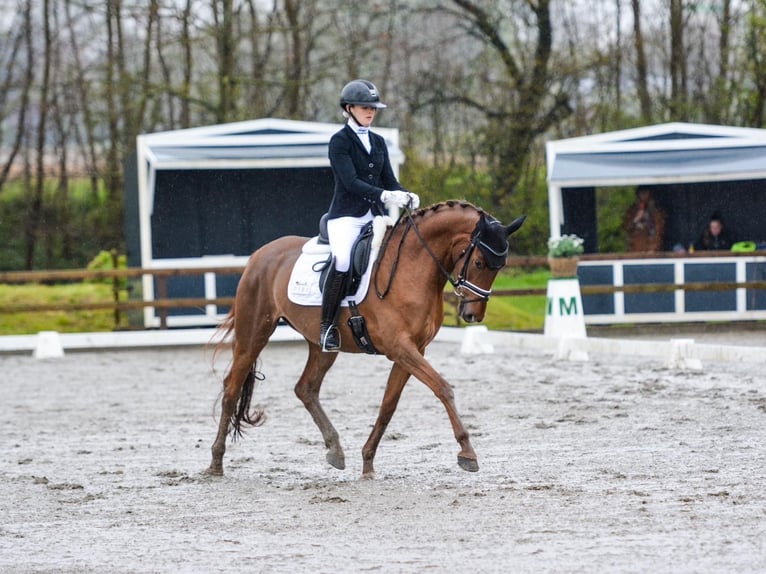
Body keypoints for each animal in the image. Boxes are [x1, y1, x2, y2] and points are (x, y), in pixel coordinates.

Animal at [207, 200, 524, 480]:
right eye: (480, 262)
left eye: (500, 266)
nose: (472, 314)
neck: (413, 267)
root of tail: (259, 255)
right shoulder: (401, 347)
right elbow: (443, 388)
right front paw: (468, 453)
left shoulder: (413, 350)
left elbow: (388, 406)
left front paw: (368, 462)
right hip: (254, 332)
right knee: (232, 388)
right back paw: (215, 464)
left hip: (322, 345)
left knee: (305, 388)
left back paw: (335, 450)